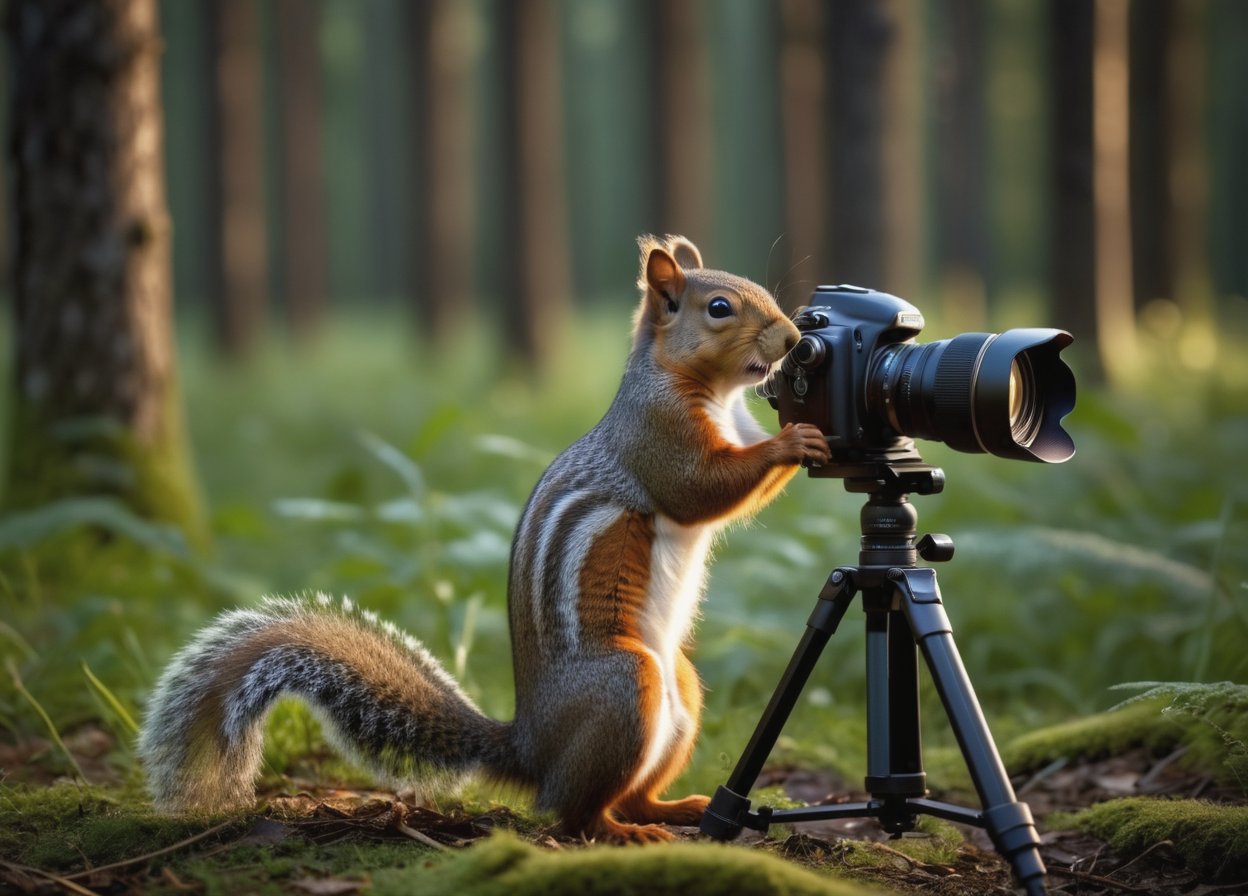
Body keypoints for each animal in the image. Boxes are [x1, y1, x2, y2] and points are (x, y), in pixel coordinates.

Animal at [139, 237, 828, 843]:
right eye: (720, 308)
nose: (794, 341)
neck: (716, 396)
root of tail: (531, 749)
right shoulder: (654, 435)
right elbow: (699, 489)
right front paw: (793, 440)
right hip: (624, 686)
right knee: (575, 812)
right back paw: (622, 831)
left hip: (679, 686)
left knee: (630, 793)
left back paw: (673, 808)